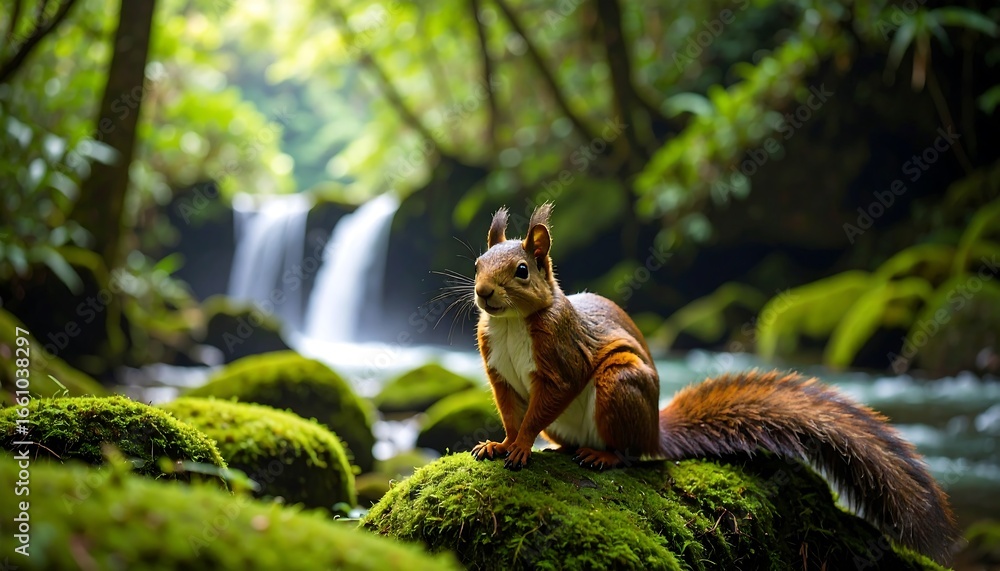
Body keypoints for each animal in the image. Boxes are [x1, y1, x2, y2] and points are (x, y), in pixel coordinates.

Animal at [469, 203, 958, 563]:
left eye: (521, 271)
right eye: (476, 264)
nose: (483, 293)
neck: (513, 323)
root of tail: (656, 432)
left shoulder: (562, 356)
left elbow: (546, 402)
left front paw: (521, 446)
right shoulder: (497, 370)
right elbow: (511, 410)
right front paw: (501, 444)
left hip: (619, 384)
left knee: (629, 452)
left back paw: (602, 455)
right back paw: (563, 449)